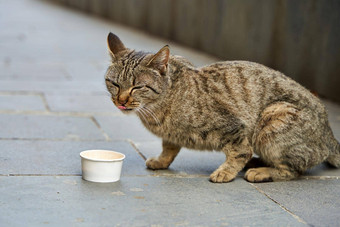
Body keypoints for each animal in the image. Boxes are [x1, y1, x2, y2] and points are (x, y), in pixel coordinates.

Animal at [105, 32, 340, 183]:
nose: (121, 100)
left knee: (294, 169)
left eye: (137, 87)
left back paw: (262, 171)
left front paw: (225, 172)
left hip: (273, 119)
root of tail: (329, 136)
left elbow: (239, 151)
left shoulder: (232, 127)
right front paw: (162, 161)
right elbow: (169, 147)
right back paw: (257, 164)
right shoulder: (170, 135)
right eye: (114, 83)